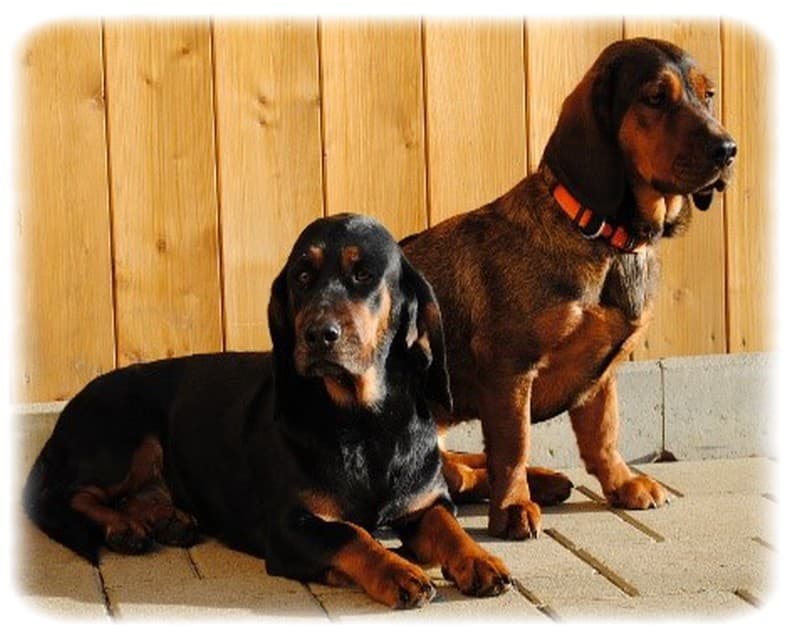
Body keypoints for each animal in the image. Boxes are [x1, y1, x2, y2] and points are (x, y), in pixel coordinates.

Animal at [23, 213, 510, 609]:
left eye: (364, 274)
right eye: (302, 275)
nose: (318, 334)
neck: (361, 422)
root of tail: (61, 423)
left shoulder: (424, 502)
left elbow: (448, 527)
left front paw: (481, 560)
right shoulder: (291, 527)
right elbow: (352, 534)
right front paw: (398, 573)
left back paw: (166, 519)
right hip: (126, 441)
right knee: (64, 495)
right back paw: (123, 528)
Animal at [401, 38, 736, 540]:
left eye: (708, 94)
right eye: (655, 97)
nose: (728, 149)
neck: (608, 240)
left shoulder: (602, 371)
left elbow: (603, 434)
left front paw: (623, 483)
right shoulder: (510, 367)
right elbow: (514, 444)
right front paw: (513, 506)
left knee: (456, 466)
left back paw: (547, 481)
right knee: (452, 470)